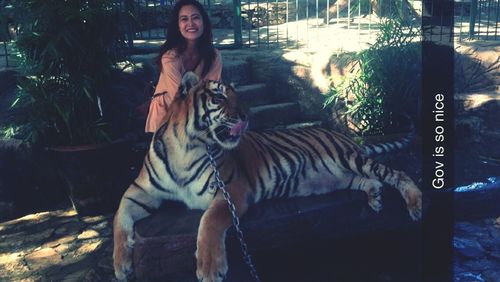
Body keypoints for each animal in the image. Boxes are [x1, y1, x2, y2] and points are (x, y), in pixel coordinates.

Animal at [113, 71, 422, 280]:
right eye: (219, 97)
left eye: (239, 95)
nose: (246, 116)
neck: (186, 149)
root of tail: (340, 135)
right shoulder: (139, 191)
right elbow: (119, 217)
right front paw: (121, 265)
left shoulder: (231, 190)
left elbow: (210, 220)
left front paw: (211, 268)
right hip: (338, 176)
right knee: (368, 180)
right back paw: (374, 196)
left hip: (349, 158)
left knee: (396, 173)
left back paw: (415, 204)